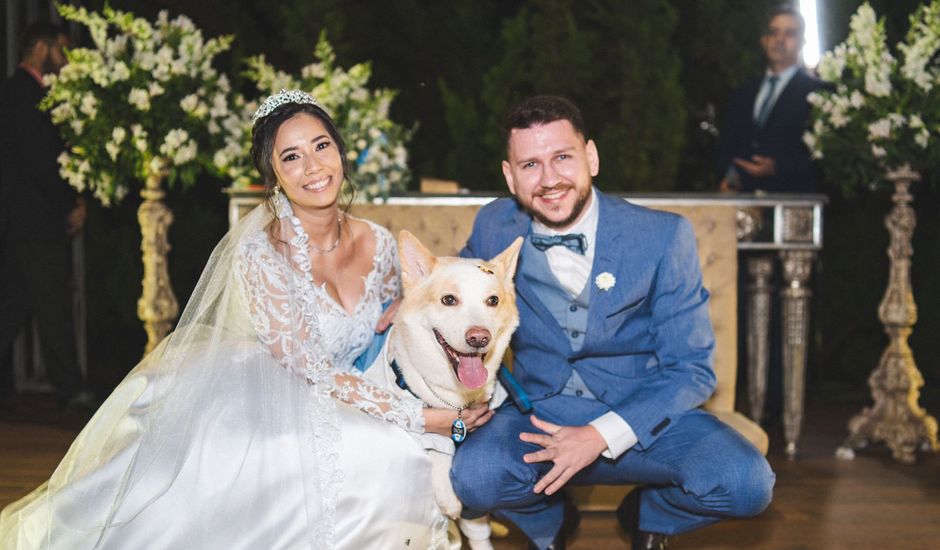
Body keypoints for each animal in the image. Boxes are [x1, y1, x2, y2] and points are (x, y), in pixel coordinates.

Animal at [364, 231, 524, 548]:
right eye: (449, 300)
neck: (457, 397)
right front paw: (448, 497)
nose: (479, 338)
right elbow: (436, 444)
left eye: (493, 300)